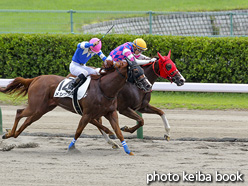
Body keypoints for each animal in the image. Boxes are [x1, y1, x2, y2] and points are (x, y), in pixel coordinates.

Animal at [0, 60, 151, 155]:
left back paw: (12, 134)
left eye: (142, 69)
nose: (148, 85)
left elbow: (118, 132)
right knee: (19, 112)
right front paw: (71, 148)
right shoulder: (87, 114)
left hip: (42, 109)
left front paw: (128, 150)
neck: (104, 89)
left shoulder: (111, 113)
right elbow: (79, 131)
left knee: (27, 121)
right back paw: (9, 133)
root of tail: (36, 79)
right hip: (35, 106)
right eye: (136, 70)